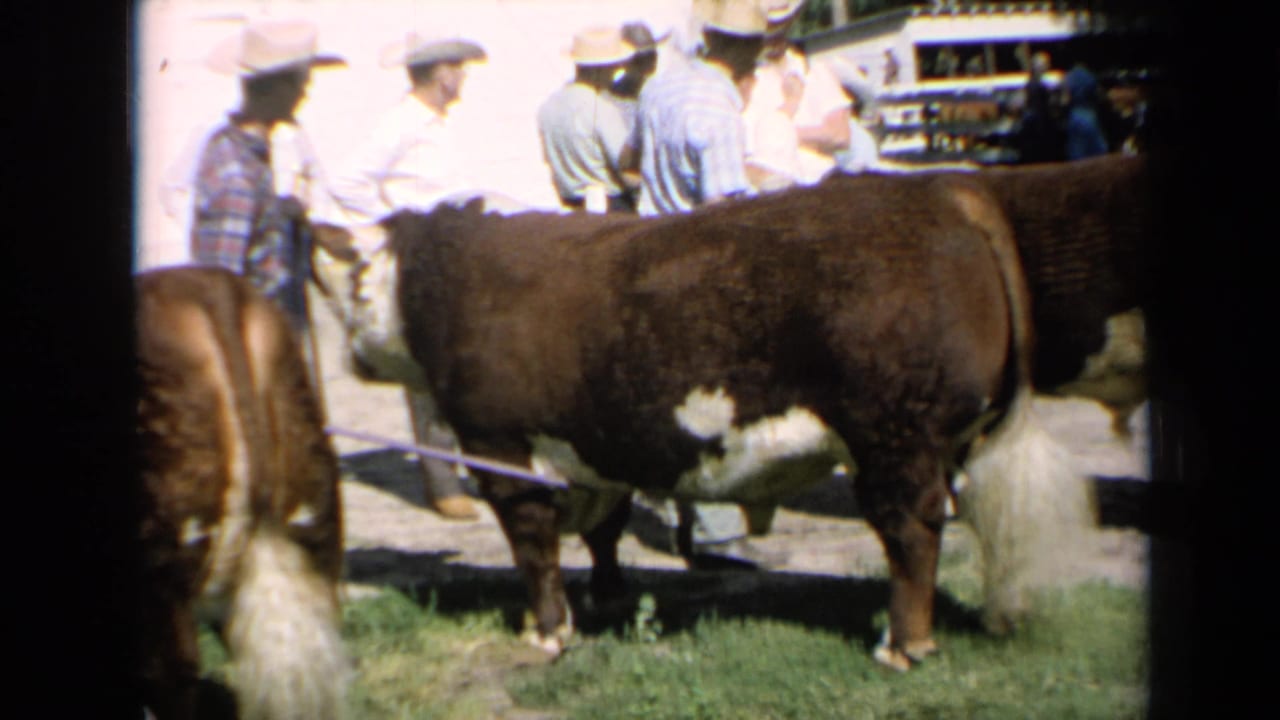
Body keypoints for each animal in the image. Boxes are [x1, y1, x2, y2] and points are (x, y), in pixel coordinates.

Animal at [312, 157, 1120, 671]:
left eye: (346, 286)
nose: (350, 357)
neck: (437, 282)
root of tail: (942, 191)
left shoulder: (501, 447)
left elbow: (534, 549)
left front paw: (547, 633)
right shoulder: (599, 446)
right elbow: (604, 529)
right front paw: (608, 597)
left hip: (894, 436)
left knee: (913, 531)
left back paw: (903, 645)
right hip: (957, 437)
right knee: (983, 518)